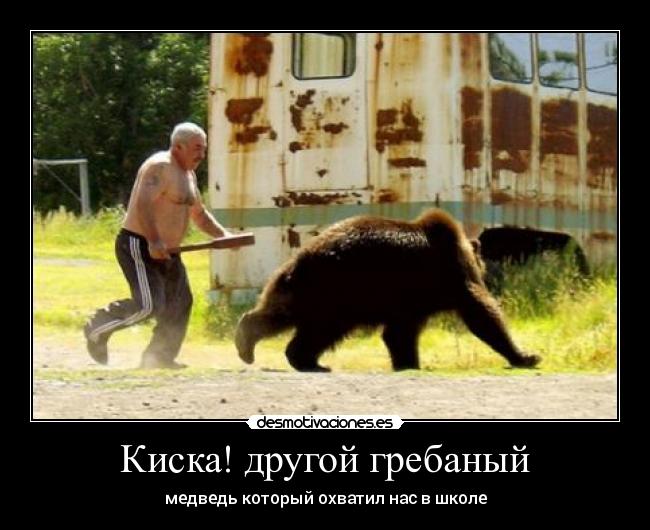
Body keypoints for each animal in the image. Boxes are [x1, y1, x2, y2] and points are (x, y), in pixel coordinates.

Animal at [235, 208, 541, 372]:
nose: (487, 269)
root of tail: (300, 258)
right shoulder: (449, 275)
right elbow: (481, 312)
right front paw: (526, 356)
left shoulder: (410, 300)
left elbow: (399, 333)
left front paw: (407, 362)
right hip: (338, 289)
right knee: (321, 329)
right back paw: (300, 358)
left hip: (306, 288)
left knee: (282, 313)